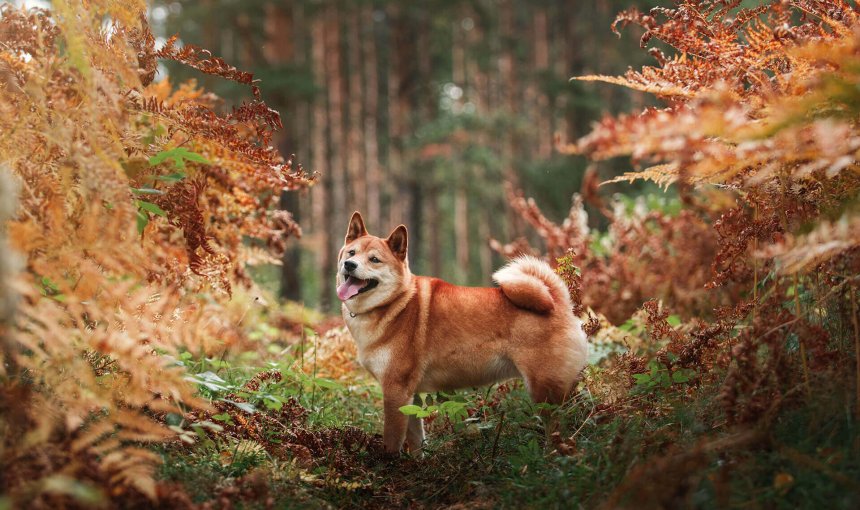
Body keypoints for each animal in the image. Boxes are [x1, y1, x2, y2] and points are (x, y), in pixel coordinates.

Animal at [332, 211, 588, 454]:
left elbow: (392, 442)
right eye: (351, 253)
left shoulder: (395, 391)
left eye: (374, 259)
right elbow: (416, 442)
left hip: (545, 393)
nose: (350, 265)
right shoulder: (410, 396)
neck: (395, 303)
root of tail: (557, 302)